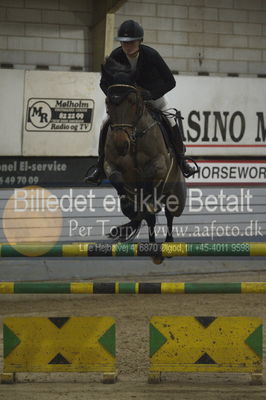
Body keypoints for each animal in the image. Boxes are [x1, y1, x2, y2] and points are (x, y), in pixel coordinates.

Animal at [101, 57, 186, 262]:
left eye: (132, 101)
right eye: (108, 101)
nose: (121, 144)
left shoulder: (160, 165)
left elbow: (150, 175)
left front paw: (147, 199)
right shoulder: (110, 165)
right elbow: (117, 179)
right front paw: (130, 207)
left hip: (175, 193)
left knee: (169, 214)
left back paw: (168, 244)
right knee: (150, 219)